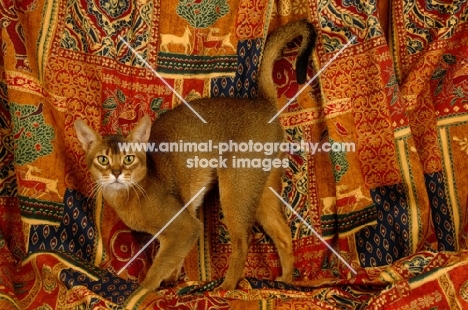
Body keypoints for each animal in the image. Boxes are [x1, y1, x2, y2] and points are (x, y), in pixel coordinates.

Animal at [75, 20, 316, 290]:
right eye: (103, 159)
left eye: (129, 159)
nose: (116, 173)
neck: (130, 195)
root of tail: (263, 103)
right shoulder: (180, 225)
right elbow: (173, 260)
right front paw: (171, 280)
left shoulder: (185, 227)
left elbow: (157, 268)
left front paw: (142, 291)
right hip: (263, 187)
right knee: (284, 234)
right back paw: (287, 281)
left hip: (236, 185)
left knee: (243, 240)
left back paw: (227, 287)